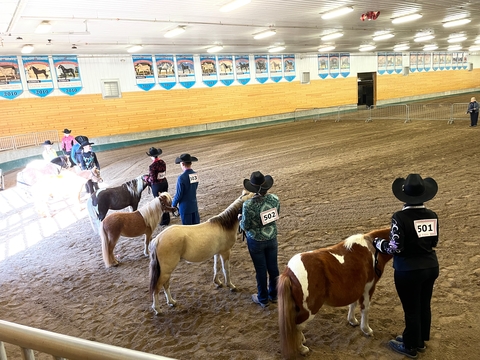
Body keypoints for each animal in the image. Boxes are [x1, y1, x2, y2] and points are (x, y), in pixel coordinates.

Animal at [278, 229, 394, 358]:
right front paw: (366, 329)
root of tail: (288, 272)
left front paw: (352, 320)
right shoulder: (368, 288)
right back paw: (302, 348)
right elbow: (365, 309)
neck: (372, 248)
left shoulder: (356, 287)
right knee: (297, 325)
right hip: (309, 310)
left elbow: (353, 303)